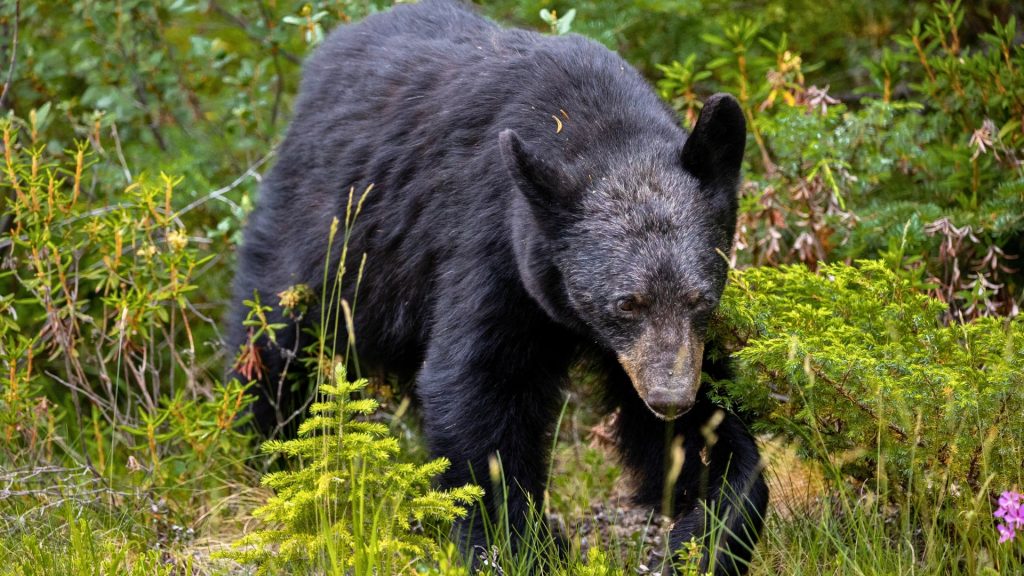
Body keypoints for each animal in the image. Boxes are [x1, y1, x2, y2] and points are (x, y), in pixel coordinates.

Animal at [226, 2, 770, 569]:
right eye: (626, 304)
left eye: (700, 298)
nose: (669, 398)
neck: (596, 126)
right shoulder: (493, 246)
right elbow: (479, 386)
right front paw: (516, 544)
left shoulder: (661, 347)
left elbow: (699, 431)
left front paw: (706, 533)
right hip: (328, 237)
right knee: (277, 340)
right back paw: (275, 451)